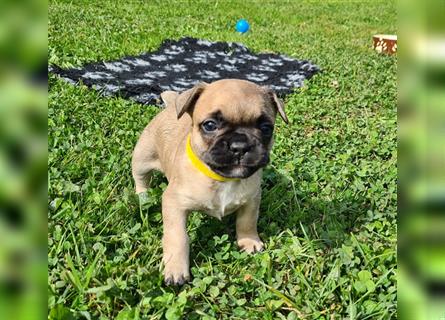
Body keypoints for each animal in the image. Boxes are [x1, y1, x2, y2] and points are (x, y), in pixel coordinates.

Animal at [131, 79, 288, 284]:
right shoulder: (174, 204)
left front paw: (249, 241)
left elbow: (247, 221)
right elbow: (177, 237)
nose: (240, 146)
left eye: (266, 128)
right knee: (141, 178)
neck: (222, 178)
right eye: (210, 125)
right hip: (142, 158)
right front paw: (175, 269)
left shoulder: (252, 199)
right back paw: (143, 196)